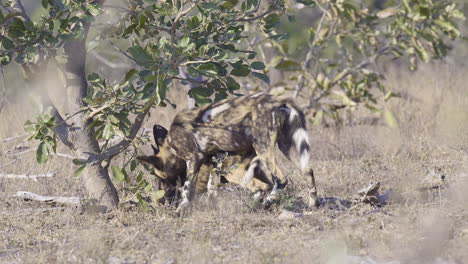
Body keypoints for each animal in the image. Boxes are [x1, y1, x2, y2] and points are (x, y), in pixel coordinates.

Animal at [141, 93, 320, 212]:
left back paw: (266, 203)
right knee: (307, 171)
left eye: (159, 176)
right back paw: (313, 205)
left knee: (280, 180)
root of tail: (278, 100)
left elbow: (187, 187)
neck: (171, 144)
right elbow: (211, 188)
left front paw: (181, 210)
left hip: (262, 147)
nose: (161, 196)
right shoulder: (213, 160)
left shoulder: (194, 159)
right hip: (286, 146)